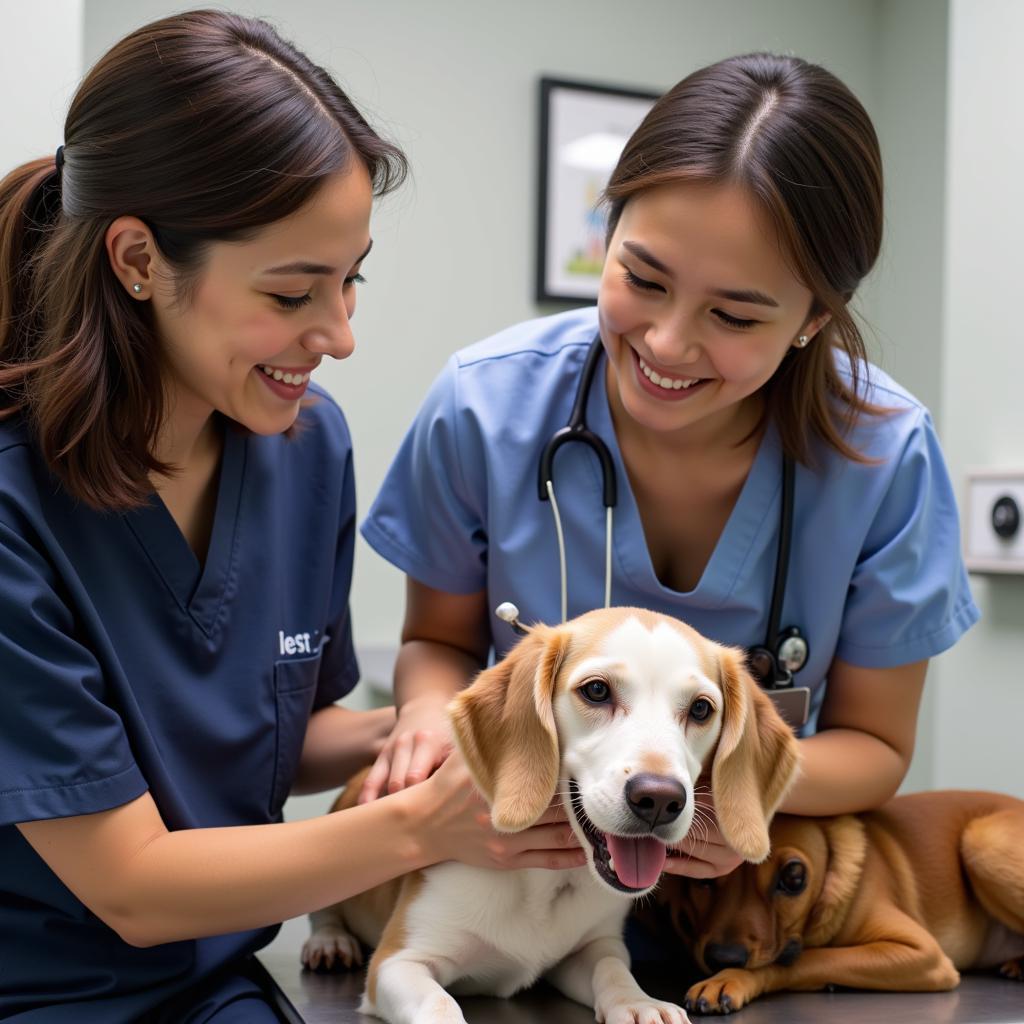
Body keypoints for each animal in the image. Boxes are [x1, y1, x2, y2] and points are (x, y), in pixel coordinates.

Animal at [303, 606, 798, 1024]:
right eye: (596, 690)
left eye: (700, 708)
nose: (658, 800)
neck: (545, 885)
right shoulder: (399, 962)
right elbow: (439, 1004)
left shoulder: (592, 948)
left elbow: (612, 971)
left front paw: (640, 1003)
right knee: (324, 913)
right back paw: (330, 942)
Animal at [651, 786, 1024, 1011]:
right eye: (704, 878)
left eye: (794, 877)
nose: (723, 958)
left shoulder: (924, 954)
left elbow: (806, 959)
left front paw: (731, 979)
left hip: (983, 842)